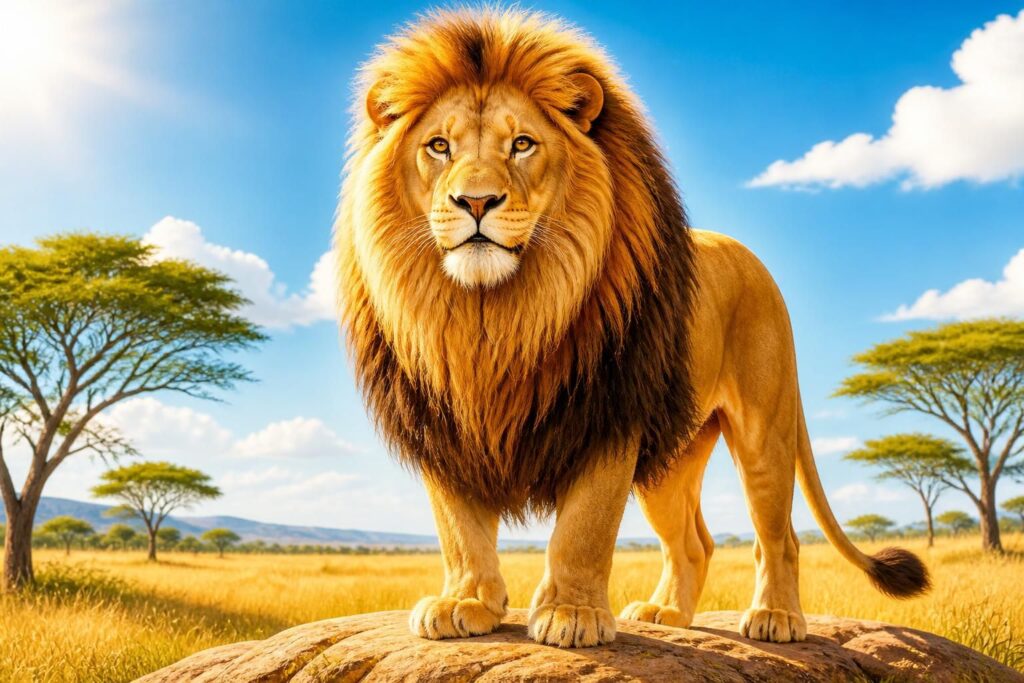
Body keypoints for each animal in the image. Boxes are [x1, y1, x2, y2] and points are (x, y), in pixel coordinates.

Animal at [334, 8, 930, 648]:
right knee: (695, 543)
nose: (475, 201)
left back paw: (776, 617)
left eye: (522, 144)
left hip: (763, 429)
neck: (494, 315)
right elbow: (459, 529)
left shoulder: (611, 410)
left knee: (780, 536)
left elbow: (585, 526)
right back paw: (665, 613)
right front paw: (465, 602)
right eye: (439, 147)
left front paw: (572, 614)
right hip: (673, 459)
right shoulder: (441, 426)